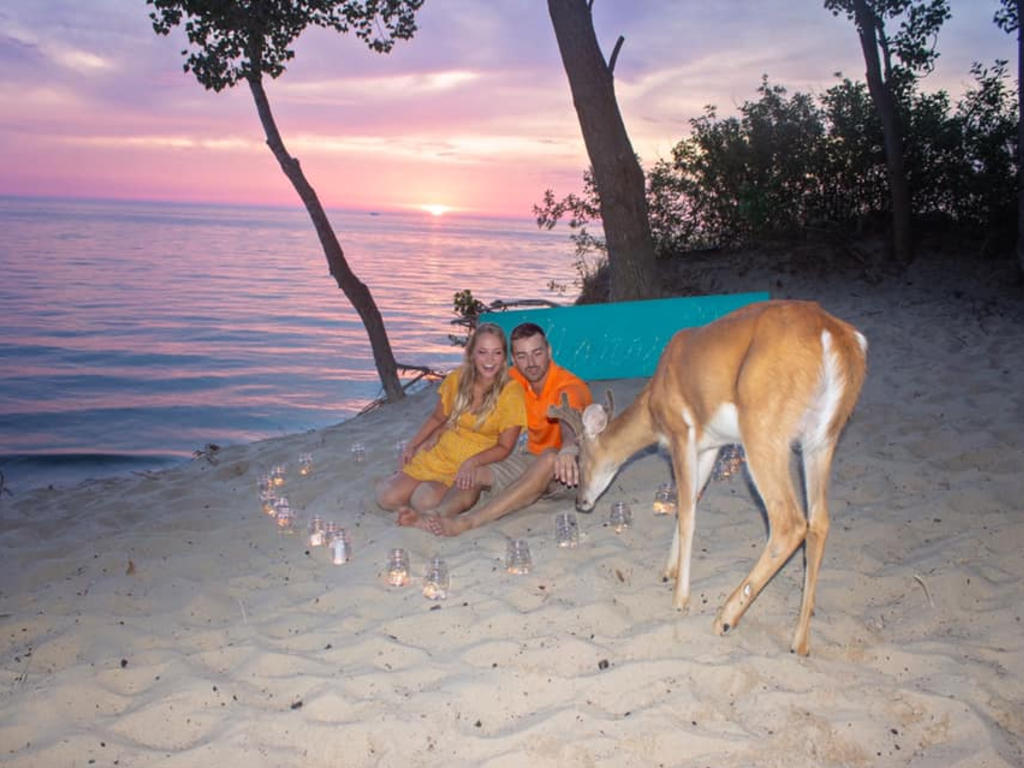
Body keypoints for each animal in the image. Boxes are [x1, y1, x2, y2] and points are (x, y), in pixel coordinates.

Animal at [549, 300, 867, 655]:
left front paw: (680, 598)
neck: (653, 405)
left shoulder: (681, 433)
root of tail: (835, 338)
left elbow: (687, 511)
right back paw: (800, 641)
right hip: (822, 439)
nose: (580, 503)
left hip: (764, 432)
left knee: (789, 522)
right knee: (820, 522)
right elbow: (688, 502)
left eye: (580, 457)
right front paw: (668, 572)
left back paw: (725, 618)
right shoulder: (712, 445)